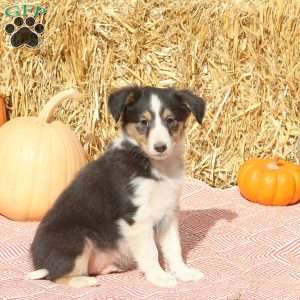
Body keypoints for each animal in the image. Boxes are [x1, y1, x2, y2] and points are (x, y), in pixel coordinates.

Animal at [28, 86, 206, 288]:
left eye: (170, 120)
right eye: (143, 122)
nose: (160, 147)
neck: (154, 166)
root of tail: (39, 263)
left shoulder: (169, 212)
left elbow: (174, 247)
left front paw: (184, 273)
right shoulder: (137, 217)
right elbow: (151, 251)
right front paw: (160, 277)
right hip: (77, 236)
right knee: (56, 276)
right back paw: (85, 281)